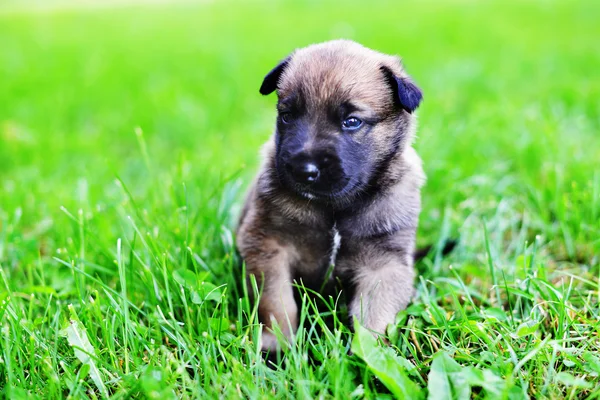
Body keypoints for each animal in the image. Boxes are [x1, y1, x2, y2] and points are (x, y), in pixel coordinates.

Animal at [237, 38, 424, 350]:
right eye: (287, 116)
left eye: (352, 121)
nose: (303, 170)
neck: (334, 207)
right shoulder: (269, 245)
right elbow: (276, 302)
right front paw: (278, 344)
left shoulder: (384, 263)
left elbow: (375, 317)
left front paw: (369, 355)